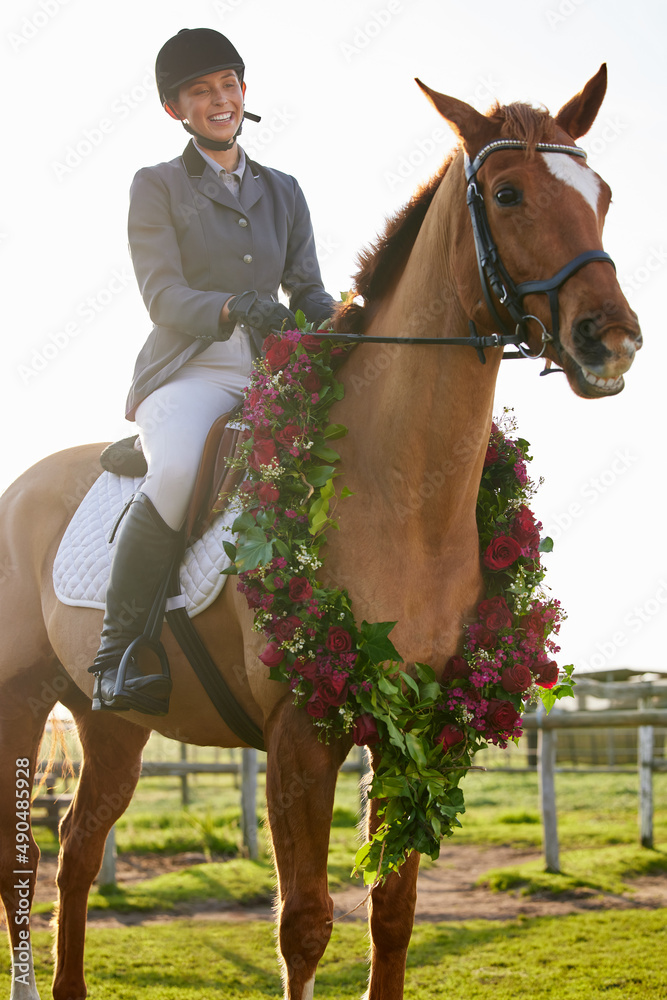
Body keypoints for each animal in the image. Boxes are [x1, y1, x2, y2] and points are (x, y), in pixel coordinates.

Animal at [2, 64, 644, 1000]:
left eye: (599, 194)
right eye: (507, 193)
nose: (612, 341)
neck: (402, 495)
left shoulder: (419, 725)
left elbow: (393, 915)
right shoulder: (298, 736)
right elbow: (303, 925)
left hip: (109, 721)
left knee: (78, 848)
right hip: (19, 701)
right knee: (20, 859)